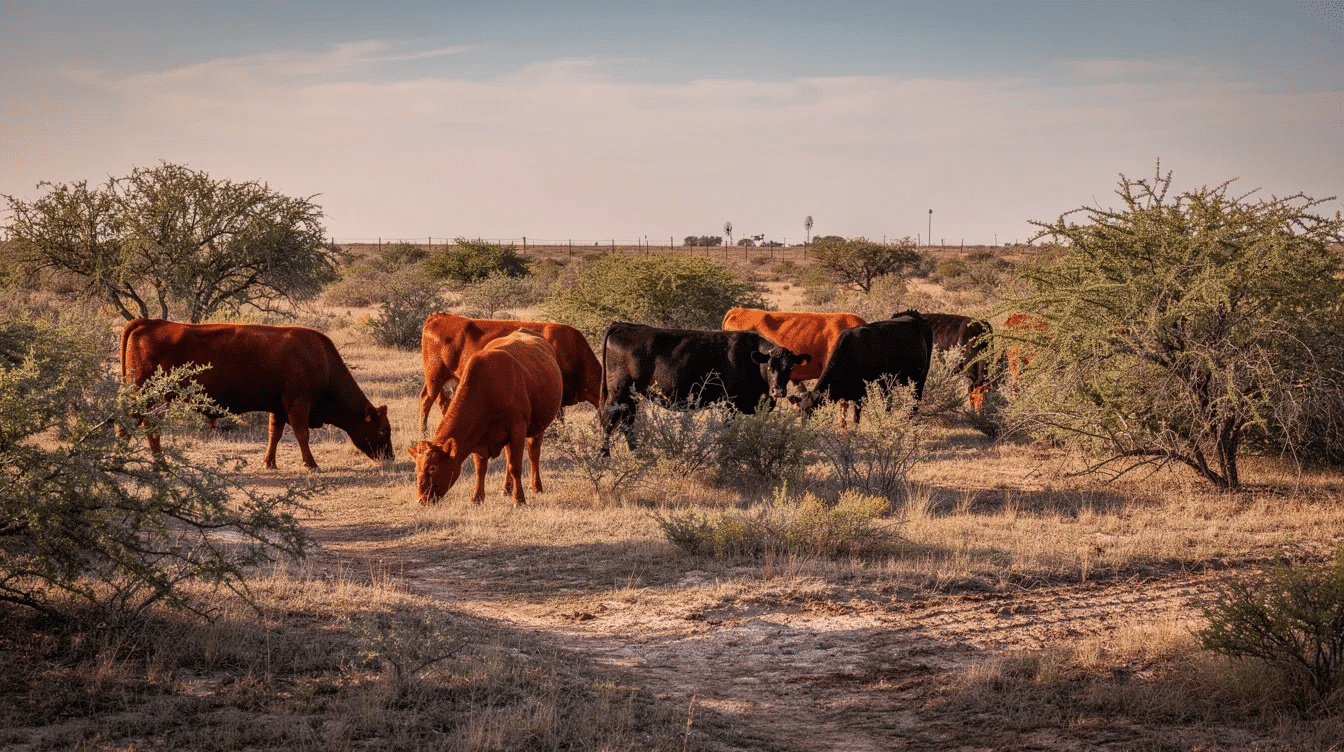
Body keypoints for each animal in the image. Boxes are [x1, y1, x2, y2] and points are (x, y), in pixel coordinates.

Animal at [120, 318, 393, 469]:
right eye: (383, 430)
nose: (389, 457)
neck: (322, 360)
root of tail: (146, 322)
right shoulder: (297, 405)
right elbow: (302, 435)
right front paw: (312, 464)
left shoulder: (279, 408)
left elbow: (275, 434)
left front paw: (270, 463)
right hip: (150, 397)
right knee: (139, 426)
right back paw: (153, 462)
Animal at [408, 329, 563, 505]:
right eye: (416, 469)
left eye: (433, 468)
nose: (420, 499)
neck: (488, 390)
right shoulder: (478, 437)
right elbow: (481, 468)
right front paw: (477, 498)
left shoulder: (517, 429)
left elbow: (516, 467)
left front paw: (519, 499)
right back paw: (506, 488)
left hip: (538, 428)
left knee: (533, 454)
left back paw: (536, 486)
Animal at [418, 313, 601, 431]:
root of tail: (439, 316)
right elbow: (559, 418)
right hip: (435, 377)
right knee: (426, 400)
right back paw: (423, 432)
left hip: (444, 380)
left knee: (442, 402)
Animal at [599, 321, 809, 447]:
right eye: (770, 366)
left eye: (790, 368)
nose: (778, 390)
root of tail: (622, 325)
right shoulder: (728, 404)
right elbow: (727, 432)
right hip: (618, 392)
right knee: (608, 422)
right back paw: (604, 458)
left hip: (632, 396)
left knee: (627, 423)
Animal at [794, 310, 934, 423]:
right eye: (800, 411)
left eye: (814, 411)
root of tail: (914, 314)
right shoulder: (856, 393)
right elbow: (855, 417)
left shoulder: (880, 385)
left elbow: (883, 407)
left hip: (922, 374)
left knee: (917, 398)